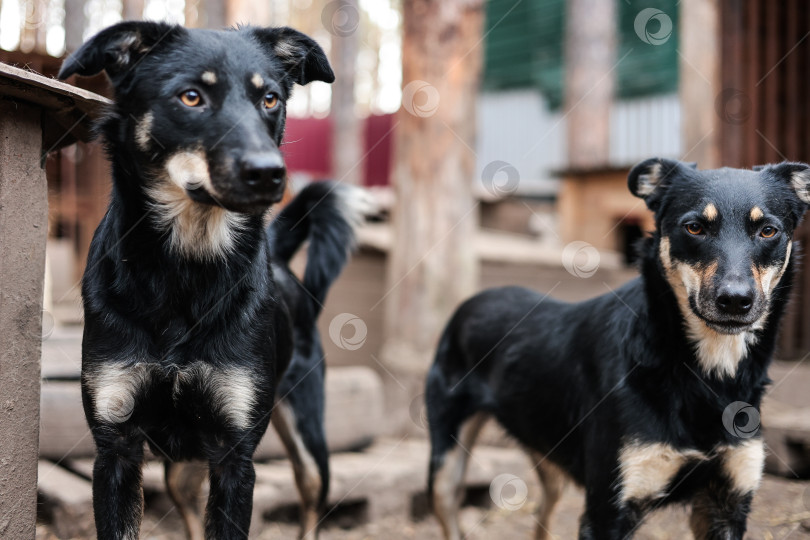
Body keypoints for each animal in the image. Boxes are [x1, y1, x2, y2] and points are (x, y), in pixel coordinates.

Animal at [59, 21, 370, 540]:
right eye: (191, 97)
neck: (188, 264)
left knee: (312, 503)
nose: (270, 173)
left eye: (270, 99)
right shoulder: (116, 450)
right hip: (181, 464)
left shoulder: (234, 458)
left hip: (309, 439)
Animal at [422, 158, 808, 536]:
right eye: (695, 228)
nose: (735, 300)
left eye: (768, 231)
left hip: (550, 466)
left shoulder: (727, 504)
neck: (708, 374)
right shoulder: (608, 511)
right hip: (445, 467)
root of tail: (473, 300)